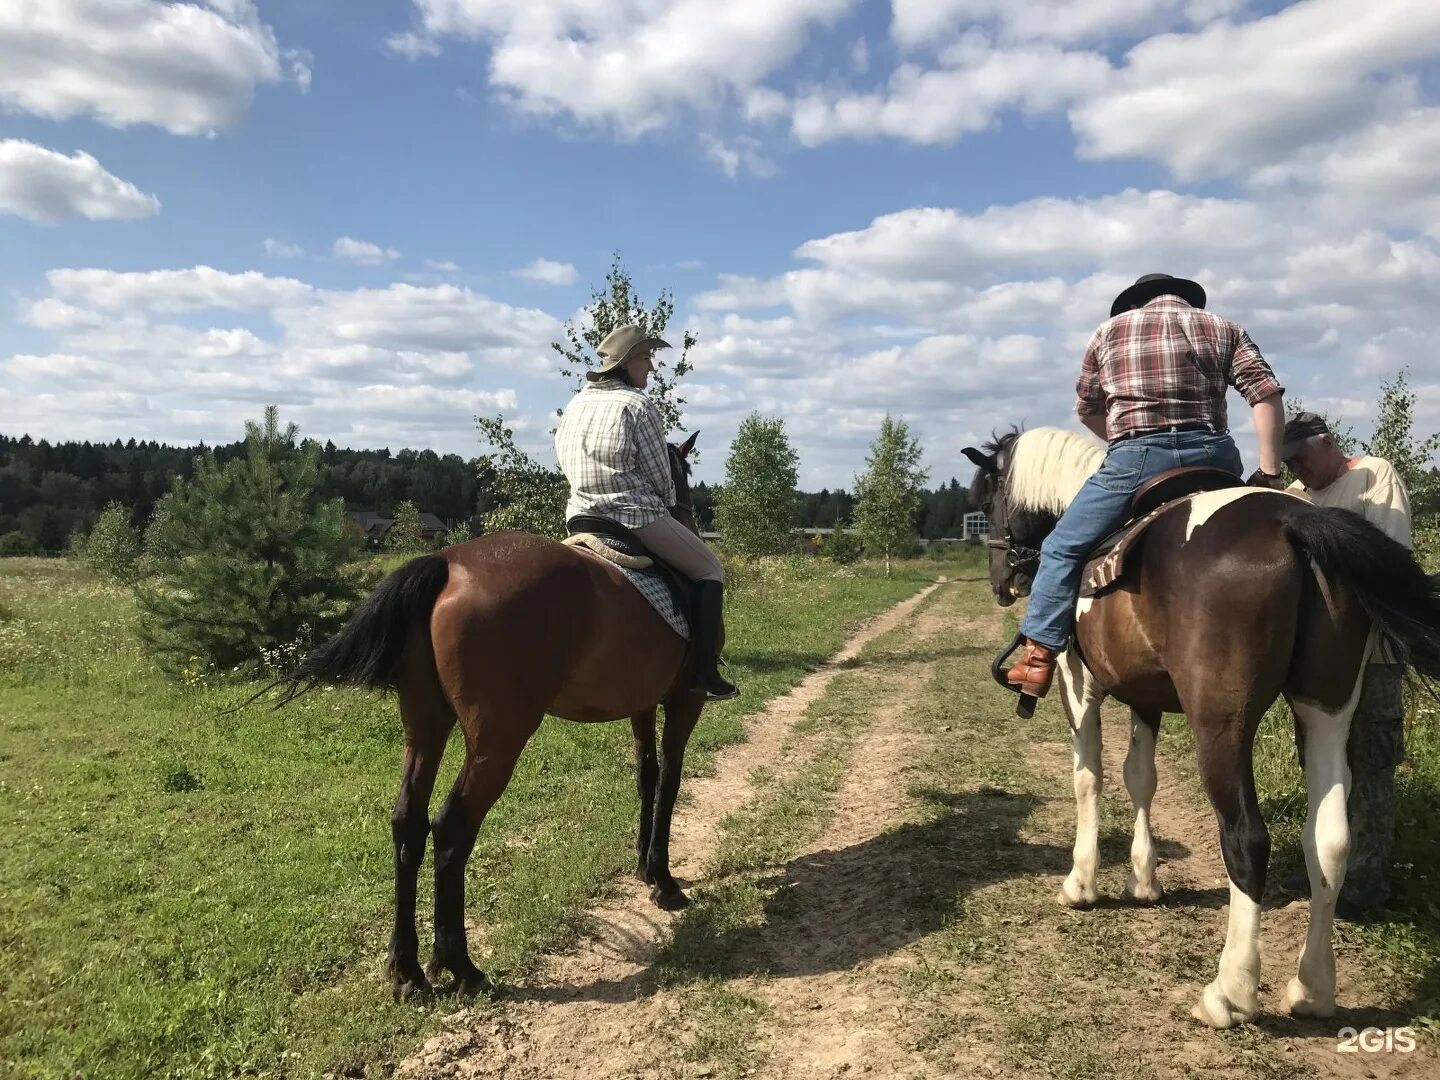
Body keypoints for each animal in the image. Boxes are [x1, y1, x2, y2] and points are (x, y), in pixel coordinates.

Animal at [961, 429, 1440, 1031]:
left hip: (1221, 724)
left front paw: (1082, 882)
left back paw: (1230, 993)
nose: (1002, 582)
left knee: (1246, 839)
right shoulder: (1144, 696)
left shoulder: (1080, 685)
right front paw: (1143, 880)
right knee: (1329, 840)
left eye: (988, 503)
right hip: (1326, 710)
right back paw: (1312, 989)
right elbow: (1140, 777)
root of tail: (1293, 522)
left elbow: (1089, 778)